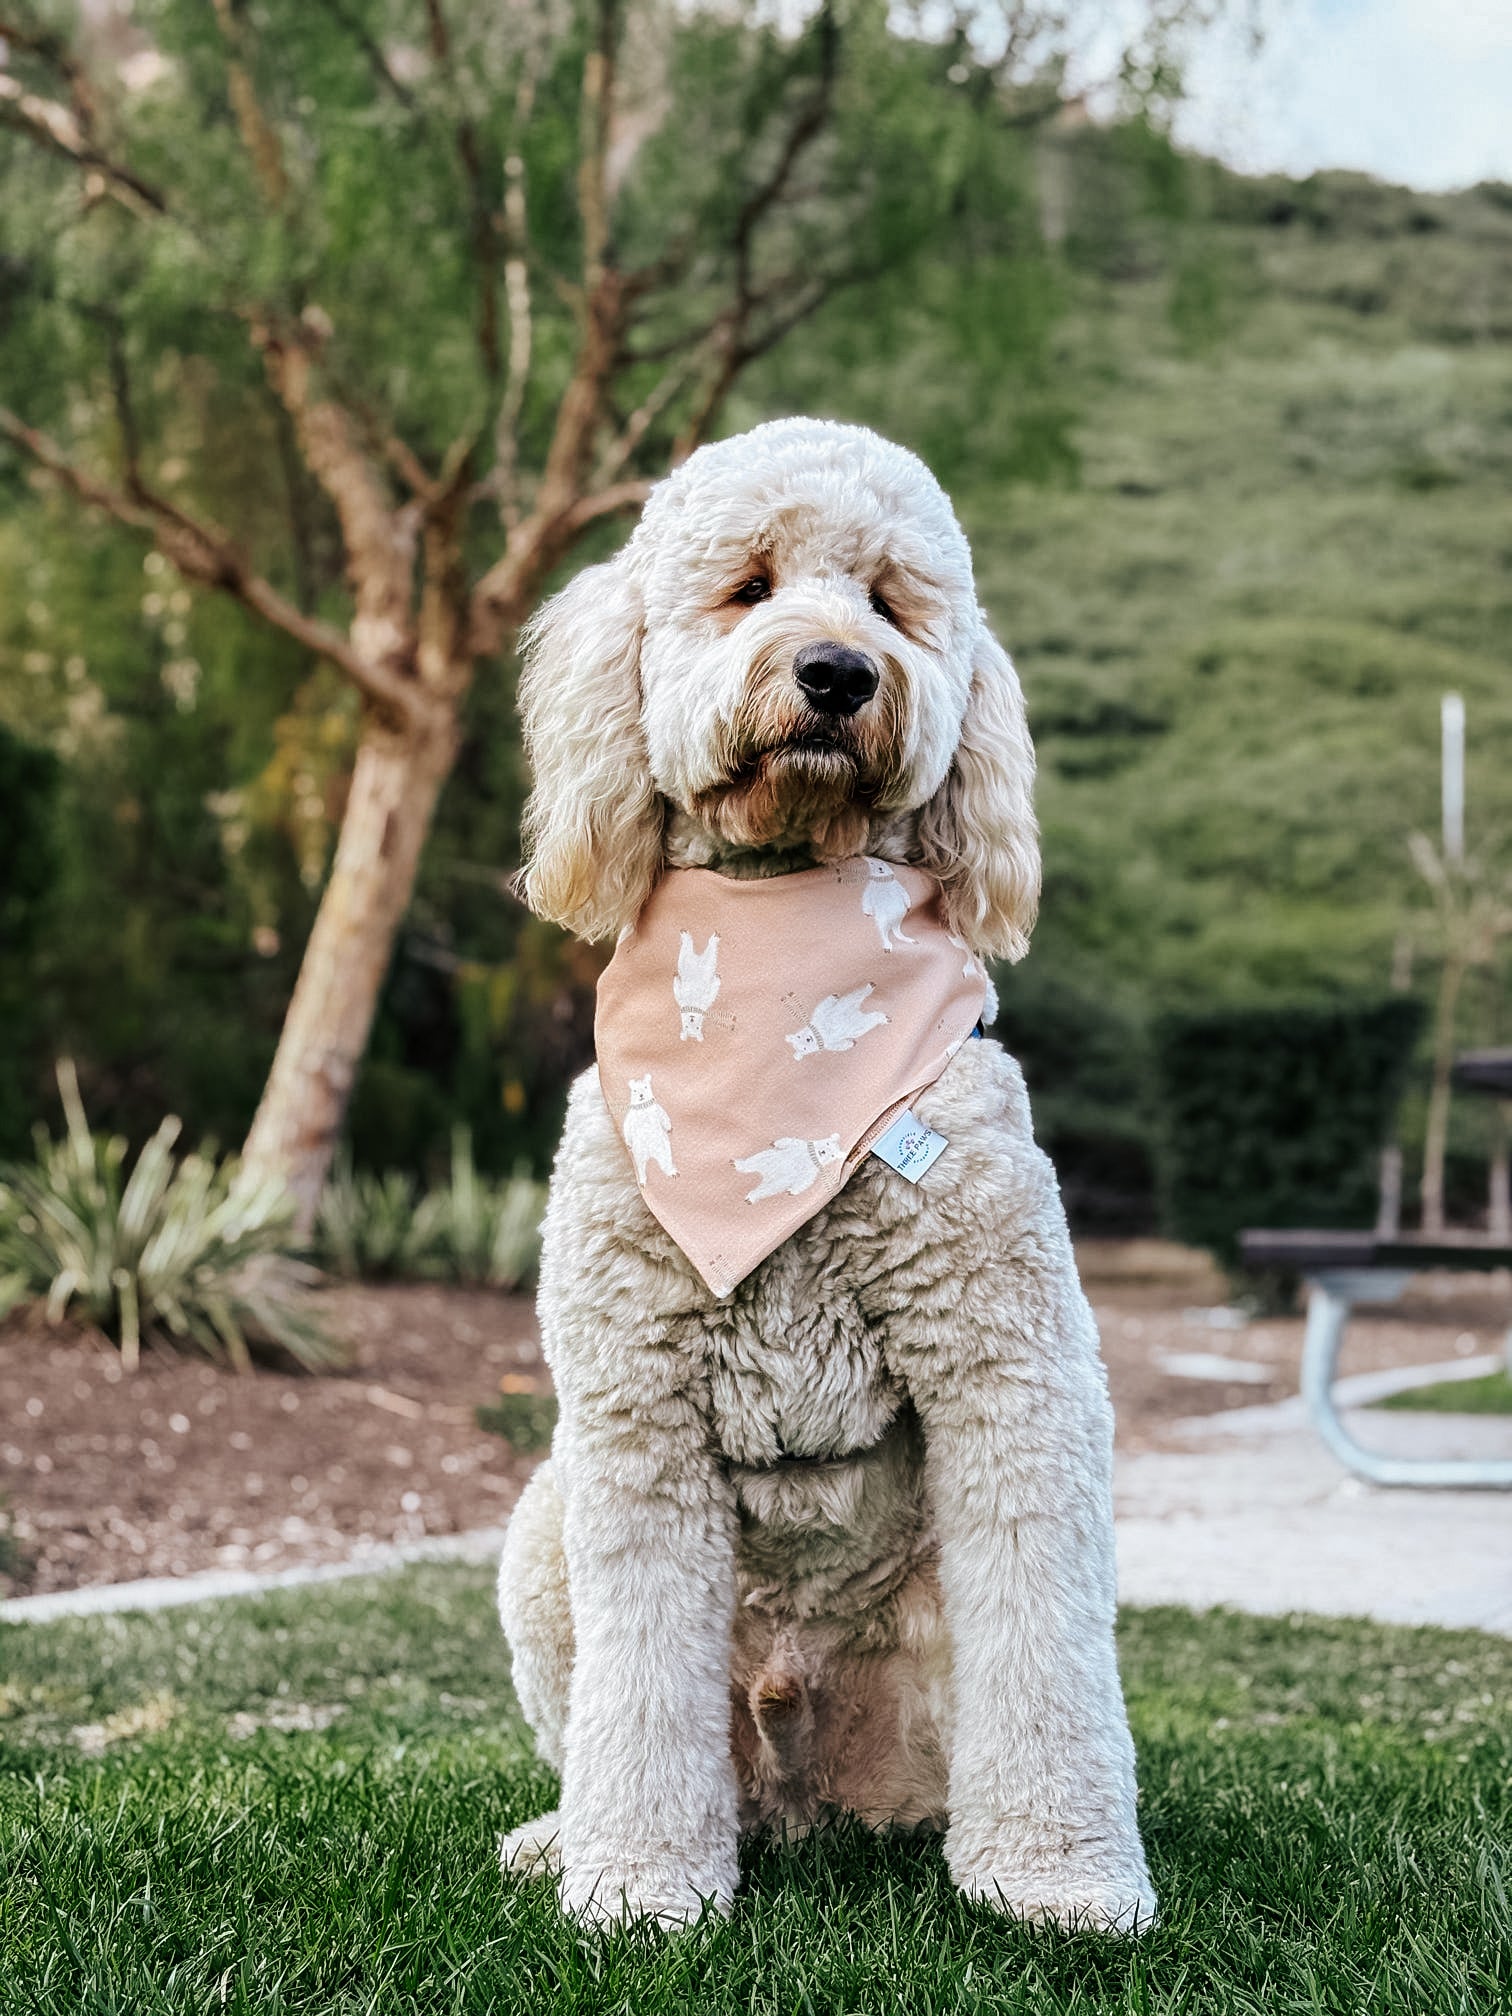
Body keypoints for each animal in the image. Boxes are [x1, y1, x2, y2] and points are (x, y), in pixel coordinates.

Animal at [497, 413, 1161, 1935]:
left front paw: (1059, 1879)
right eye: (746, 586)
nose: (838, 673)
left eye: (891, 603)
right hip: (543, 1529)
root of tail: (802, 1779)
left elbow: (1049, 1644)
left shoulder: (1012, 1372)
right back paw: (566, 1838)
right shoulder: (632, 1415)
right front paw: (636, 1887)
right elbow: (640, 1685)